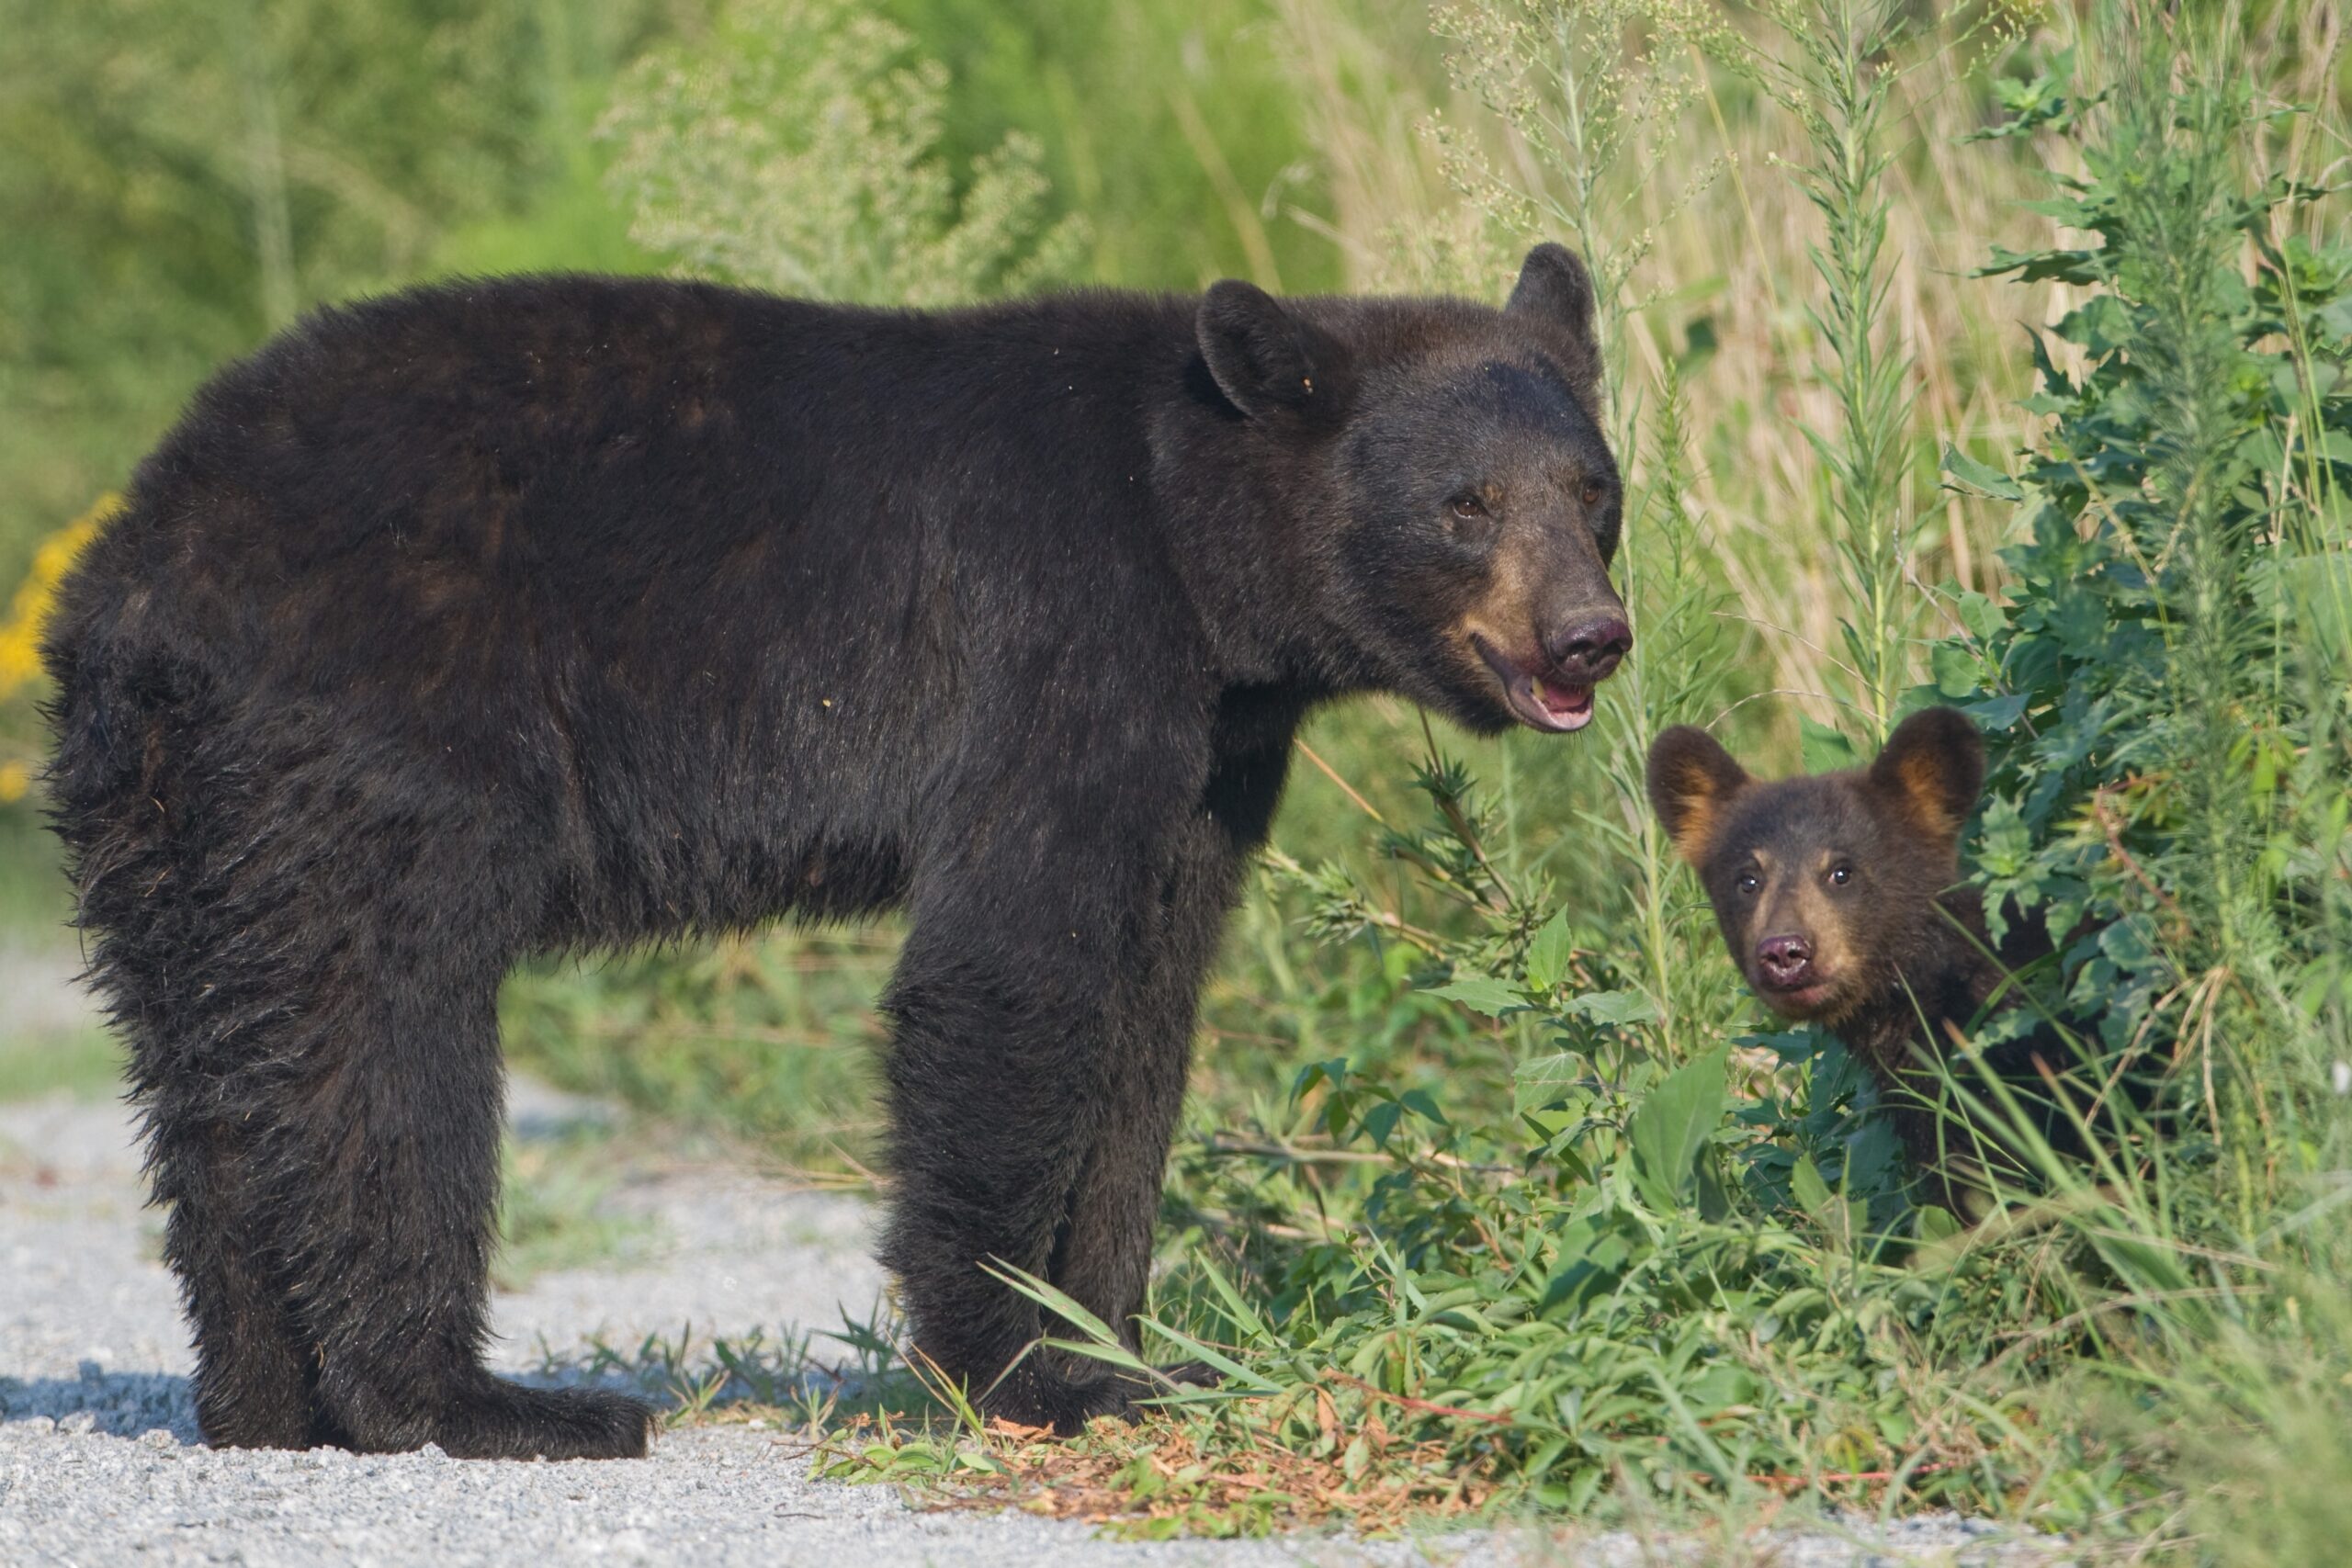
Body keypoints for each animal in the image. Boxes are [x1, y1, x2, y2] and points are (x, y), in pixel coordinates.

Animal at [45, 245, 1627, 1457]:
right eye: (1467, 502)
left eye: (1594, 488)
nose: (1589, 635)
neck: (1193, 542)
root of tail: (140, 565)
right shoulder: (1059, 644)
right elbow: (1008, 976)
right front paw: (1019, 1368)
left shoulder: (1210, 759)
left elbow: (1149, 1016)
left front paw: (1122, 1351)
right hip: (384, 738)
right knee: (385, 1042)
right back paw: (479, 1400)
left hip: (170, 815)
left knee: (216, 1070)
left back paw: (264, 1399)